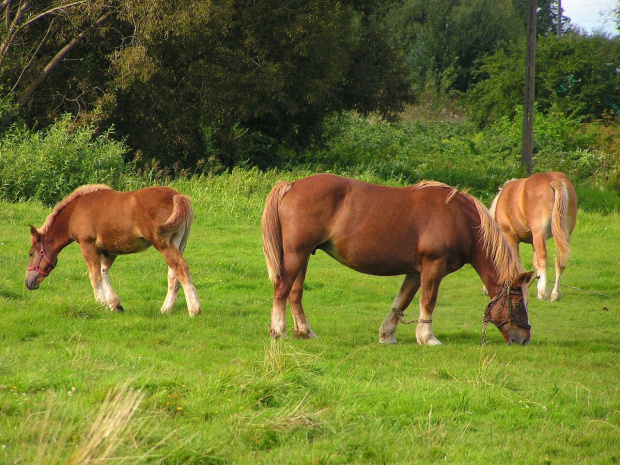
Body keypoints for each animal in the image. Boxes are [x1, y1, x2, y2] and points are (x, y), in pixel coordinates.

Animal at [25, 185, 201, 316]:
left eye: (31, 253)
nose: (28, 282)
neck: (76, 210)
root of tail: (178, 197)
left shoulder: (88, 246)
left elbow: (95, 276)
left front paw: (101, 304)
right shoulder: (109, 250)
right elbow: (104, 273)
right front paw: (115, 305)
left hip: (164, 244)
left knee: (181, 269)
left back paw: (194, 310)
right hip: (179, 244)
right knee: (173, 275)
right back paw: (166, 309)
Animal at [262, 174, 532, 344]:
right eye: (518, 304)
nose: (524, 339)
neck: (460, 219)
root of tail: (292, 185)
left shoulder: (416, 270)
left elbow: (401, 301)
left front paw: (387, 334)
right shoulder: (434, 265)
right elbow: (428, 300)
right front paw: (427, 337)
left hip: (303, 256)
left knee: (295, 293)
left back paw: (305, 332)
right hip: (297, 254)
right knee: (282, 288)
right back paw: (278, 331)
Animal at [492, 171, 580, 300]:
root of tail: (554, 181)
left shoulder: (511, 237)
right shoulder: (533, 240)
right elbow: (535, 263)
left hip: (540, 234)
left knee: (543, 258)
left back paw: (543, 294)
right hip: (564, 236)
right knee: (560, 261)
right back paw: (555, 294)